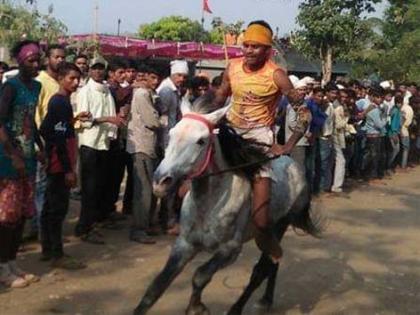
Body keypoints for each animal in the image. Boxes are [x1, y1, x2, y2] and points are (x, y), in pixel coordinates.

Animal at [135, 94, 322, 315]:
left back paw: (242, 306)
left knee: (265, 266)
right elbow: (156, 287)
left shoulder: (230, 250)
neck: (209, 206)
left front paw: (196, 307)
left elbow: (200, 275)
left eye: (201, 141)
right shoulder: (185, 244)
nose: (160, 181)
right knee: (272, 263)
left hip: (278, 225)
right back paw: (266, 300)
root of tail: (293, 165)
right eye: (171, 134)